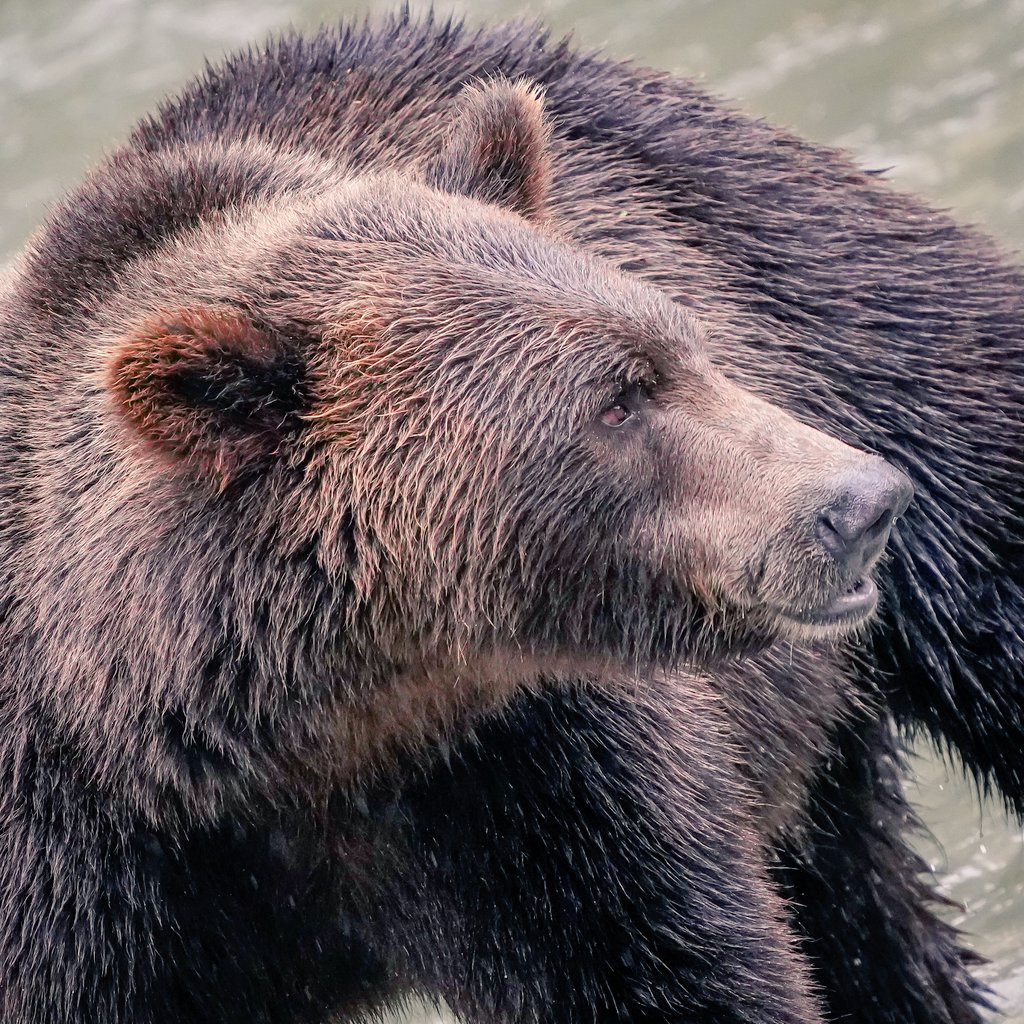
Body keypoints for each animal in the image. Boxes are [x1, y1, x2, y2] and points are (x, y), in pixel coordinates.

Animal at [1, 10, 1020, 1024]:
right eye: (618, 401)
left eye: (686, 348)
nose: (858, 502)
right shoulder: (75, 865)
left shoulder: (529, 773)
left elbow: (660, 962)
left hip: (816, 277)